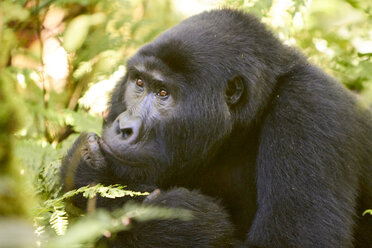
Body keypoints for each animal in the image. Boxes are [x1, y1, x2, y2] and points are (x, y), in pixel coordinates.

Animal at [61, 8, 372, 247]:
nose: (124, 127)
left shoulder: (310, 107)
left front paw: (172, 219)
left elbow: (293, 241)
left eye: (163, 93)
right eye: (139, 83)